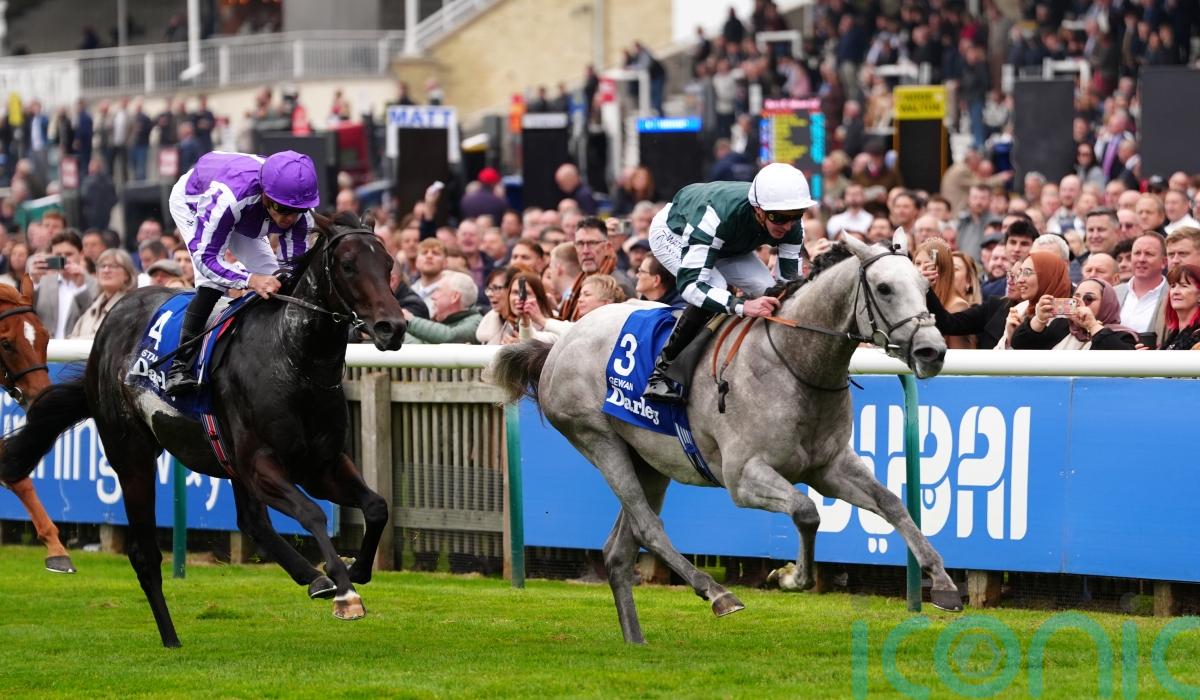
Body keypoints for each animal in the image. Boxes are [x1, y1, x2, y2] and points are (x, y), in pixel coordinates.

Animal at [490, 235, 962, 644]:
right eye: (884, 288)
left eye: (926, 287)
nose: (932, 351)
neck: (795, 362)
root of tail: (559, 342)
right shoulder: (743, 477)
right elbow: (807, 512)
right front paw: (788, 576)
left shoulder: (829, 466)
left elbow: (892, 504)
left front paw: (943, 584)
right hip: (598, 439)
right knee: (648, 527)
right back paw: (717, 594)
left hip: (648, 460)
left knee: (618, 550)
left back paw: (636, 639)